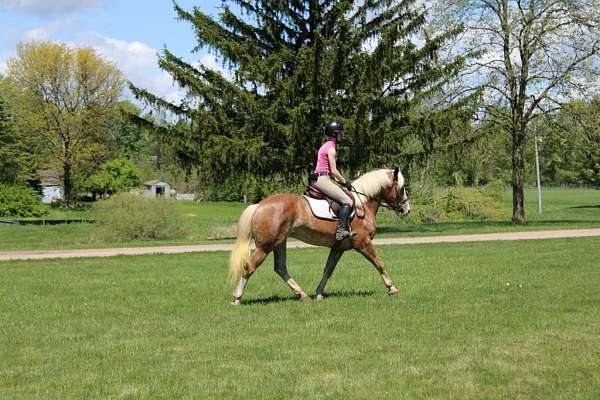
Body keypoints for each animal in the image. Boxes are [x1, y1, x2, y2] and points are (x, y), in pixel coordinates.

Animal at [227, 167, 410, 304]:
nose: (406, 209)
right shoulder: (362, 242)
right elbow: (379, 263)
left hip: (279, 242)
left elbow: (328, 269)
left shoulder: (338, 247)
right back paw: (236, 298)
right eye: (402, 188)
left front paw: (319, 293)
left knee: (280, 267)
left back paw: (302, 295)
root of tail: (259, 205)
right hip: (265, 246)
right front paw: (392, 288)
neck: (362, 203)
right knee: (249, 267)